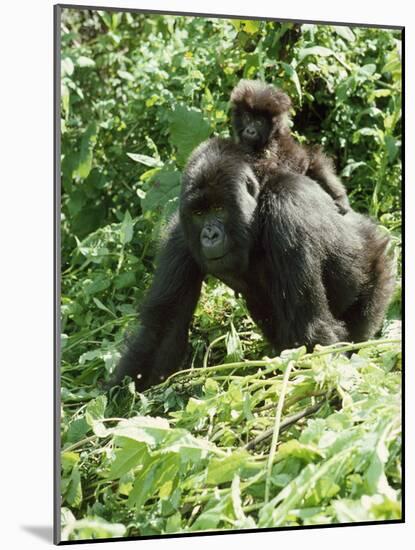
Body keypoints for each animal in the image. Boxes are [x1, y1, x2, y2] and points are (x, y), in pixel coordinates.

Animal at [111, 137, 396, 392]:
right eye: (199, 213)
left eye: (219, 208)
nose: (209, 235)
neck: (256, 211)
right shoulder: (180, 236)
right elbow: (161, 331)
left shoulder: (288, 209)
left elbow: (311, 327)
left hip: (381, 264)